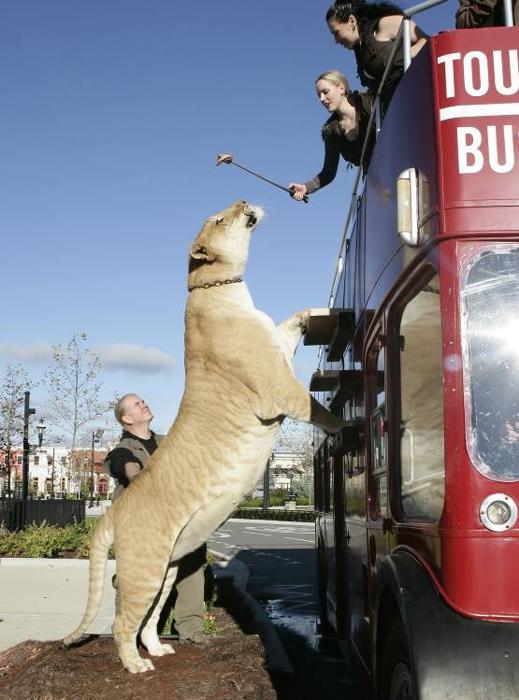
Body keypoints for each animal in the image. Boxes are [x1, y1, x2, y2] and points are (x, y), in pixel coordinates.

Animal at [64, 200, 346, 668]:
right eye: (217, 219)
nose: (244, 200)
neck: (215, 287)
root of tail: (112, 512)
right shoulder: (274, 386)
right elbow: (314, 407)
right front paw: (347, 425)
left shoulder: (276, 346)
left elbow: (290, 323)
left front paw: (310, 313)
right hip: (144, 565)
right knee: (124, 620)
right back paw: (135, 664)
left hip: (167, 567)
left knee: (149, 617)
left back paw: (159, 648)